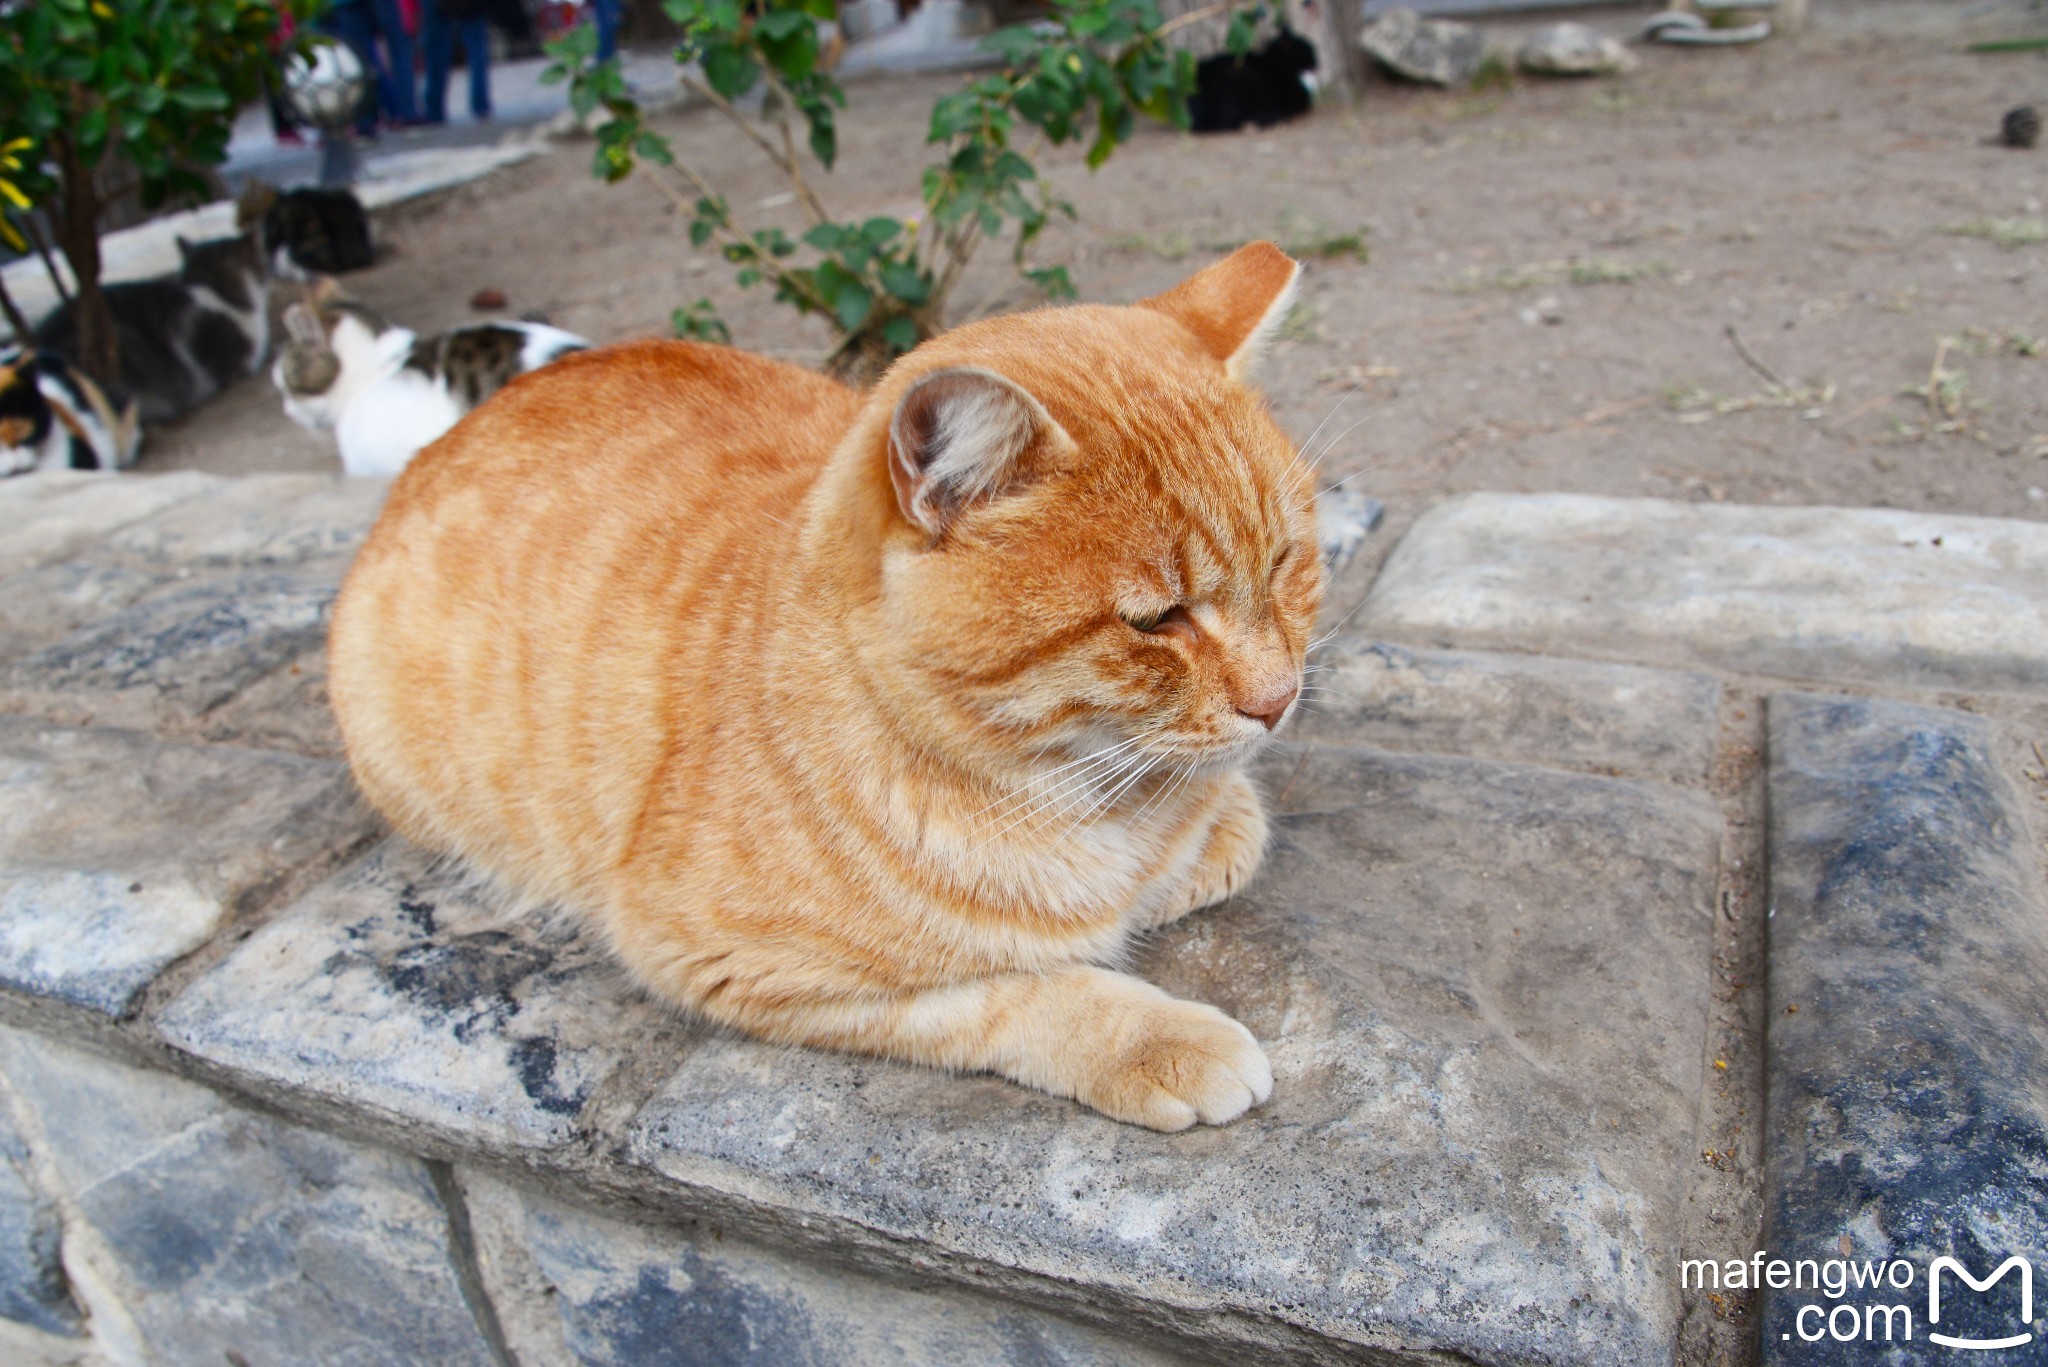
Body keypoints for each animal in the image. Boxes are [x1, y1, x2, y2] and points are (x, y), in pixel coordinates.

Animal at [331, 242, 1327, 1131]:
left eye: (1286, 561)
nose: (1277, 700)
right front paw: (1153, 1037)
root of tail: (456, 429)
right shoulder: (733, 962)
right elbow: (1015, 991)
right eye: (1157, 619)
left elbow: (1230, 831)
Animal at [1187, 26, 1327, 133]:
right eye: (1308, 49)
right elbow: (1307, 100)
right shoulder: (1295, 98)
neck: (1273, 64)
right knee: (1233, 120)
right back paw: (1273, 117)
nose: (1318, 61)